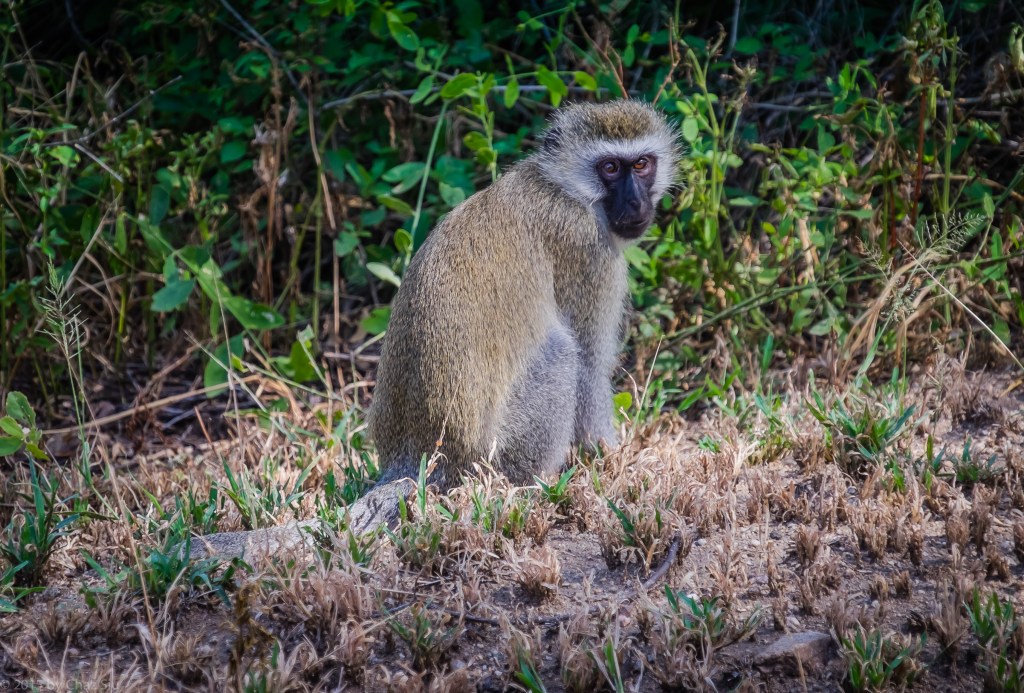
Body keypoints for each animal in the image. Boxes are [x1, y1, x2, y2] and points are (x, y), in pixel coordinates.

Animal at [187, 100, 679, 560]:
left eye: (642, 164)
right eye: (611, 167)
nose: (636, 204)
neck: (563, 188)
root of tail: (416, 458)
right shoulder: (586, 248)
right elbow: (591, 370)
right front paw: (612, 463)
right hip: (494, 451)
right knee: (562, 353)